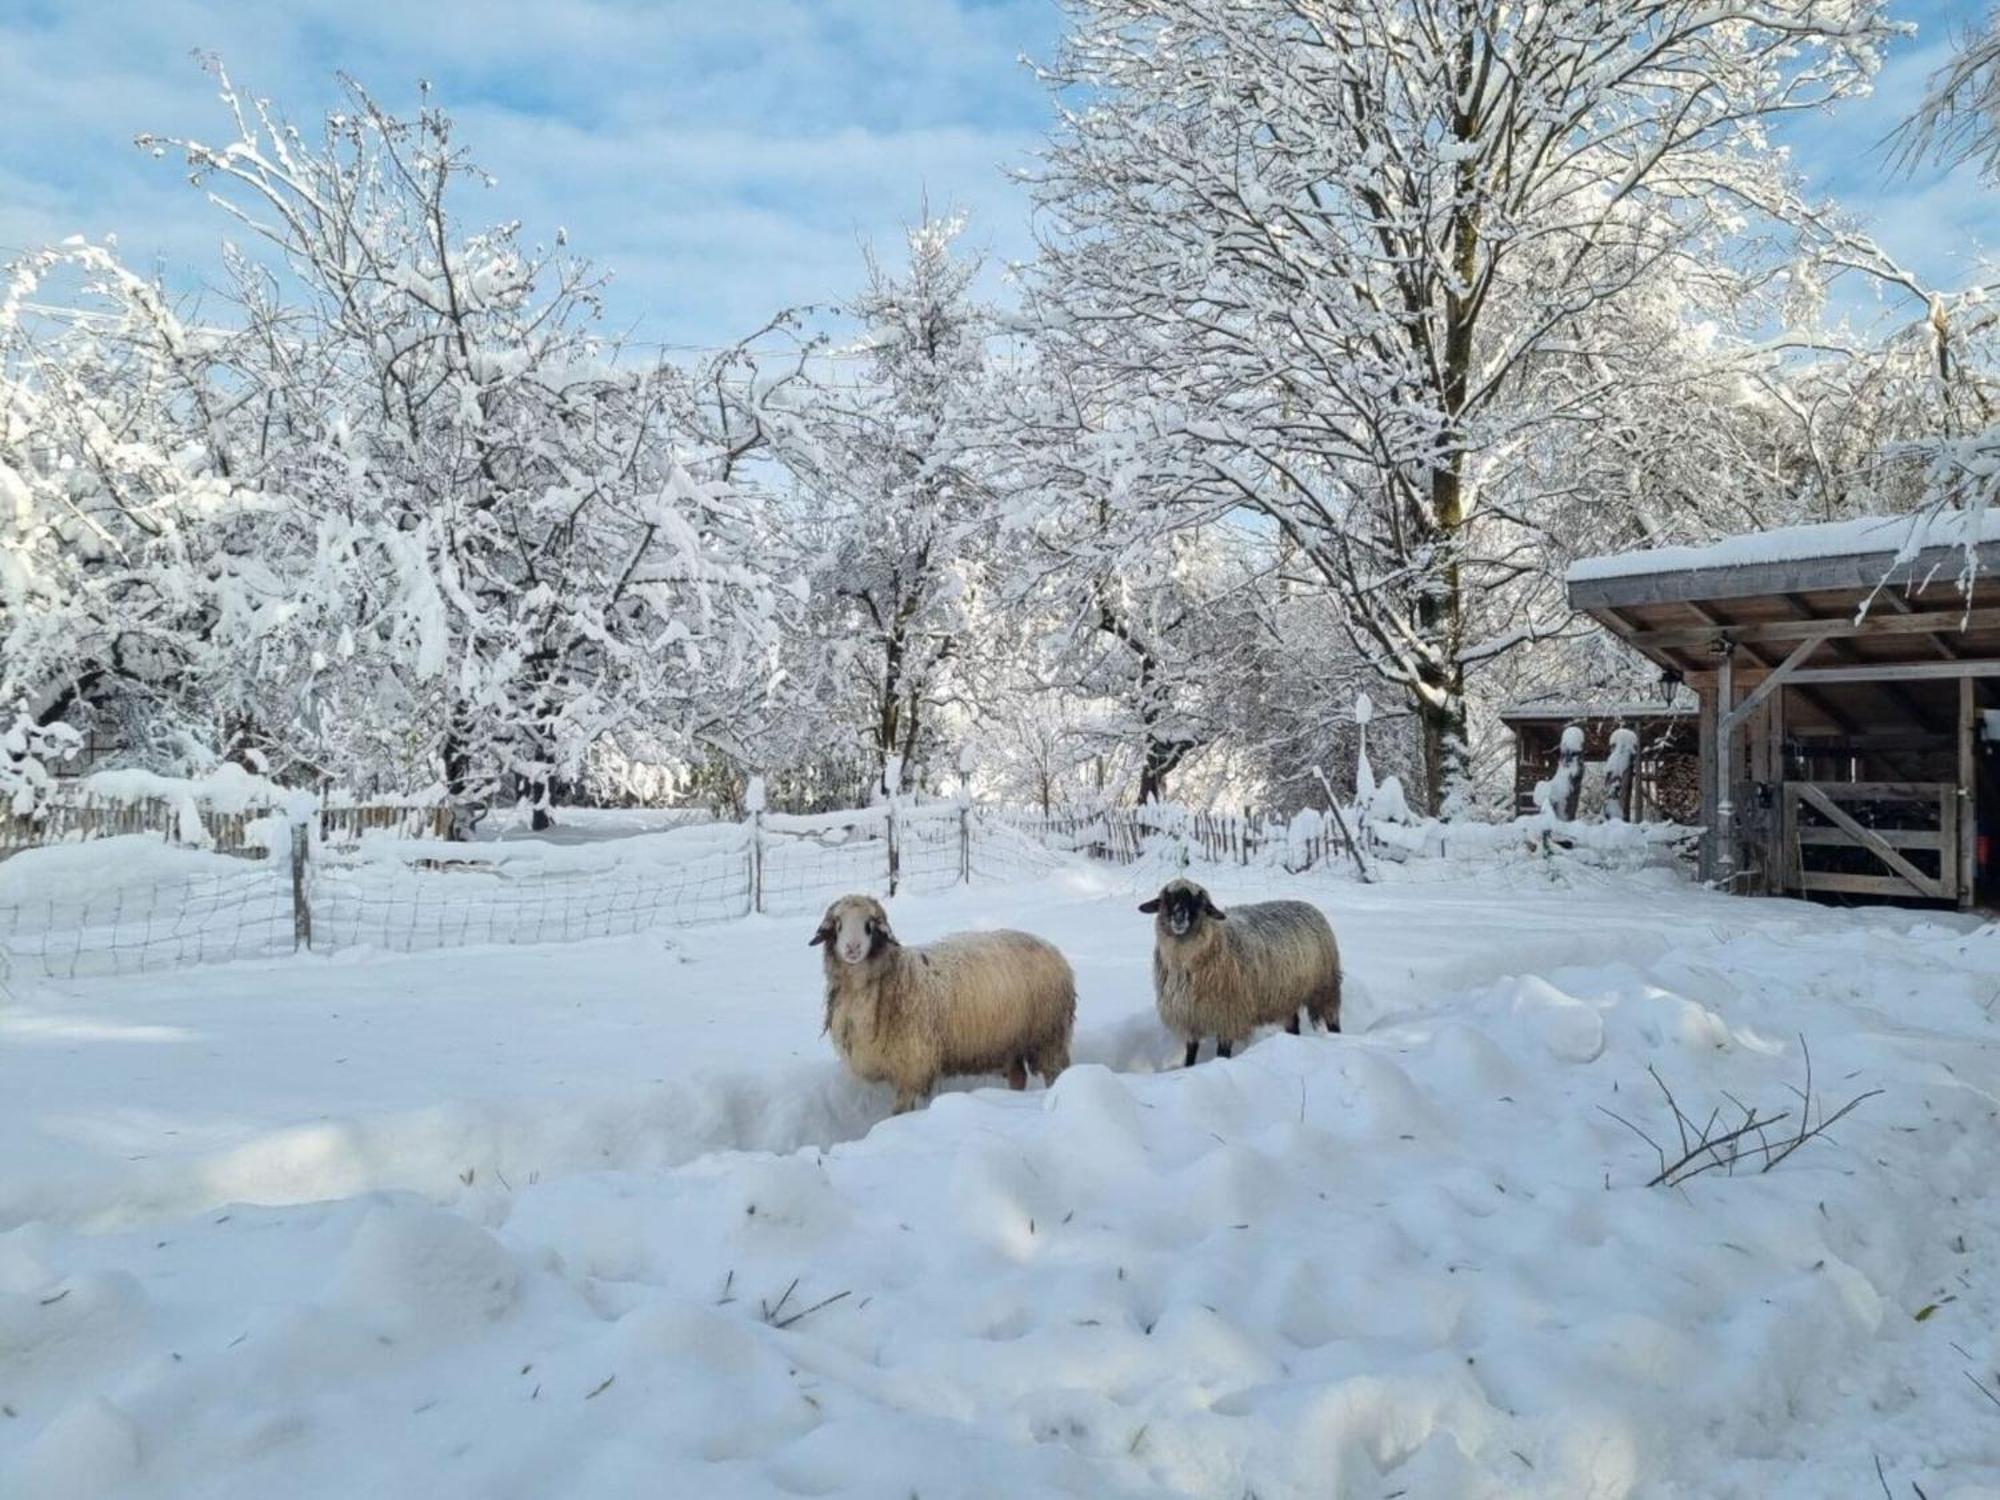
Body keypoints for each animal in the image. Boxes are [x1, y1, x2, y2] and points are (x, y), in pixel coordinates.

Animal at [808, 892, 1080, 1120]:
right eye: (838, 924)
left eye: (869, 925)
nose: (852, 948)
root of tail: (1053, 949)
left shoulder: (913, 1065)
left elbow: (900, 1111)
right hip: (1011, 1041)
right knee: (1018, 1077)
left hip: (1049, 1035)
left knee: (1053, 1072)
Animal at [1144, 880, 1344, 1072]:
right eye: (1166, 900)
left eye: (1198, 902)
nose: (1179, 918)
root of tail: (1308, 905)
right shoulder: (1190, 1018)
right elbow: (1191, 1053)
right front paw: (1188, 1070)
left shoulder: (1229, 1017)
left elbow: (1223, 1053)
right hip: (1287, 996)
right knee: (1293, 1023)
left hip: (1325, 987)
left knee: (1333, 1020)